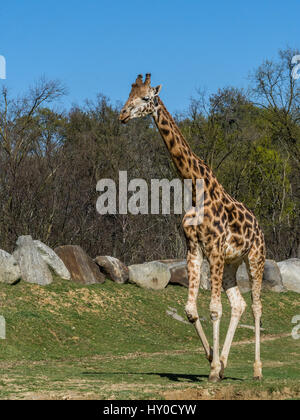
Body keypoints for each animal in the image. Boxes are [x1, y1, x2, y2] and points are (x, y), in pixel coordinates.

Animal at [118, 74, 266, 382]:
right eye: (129, 95)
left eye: (146, 98)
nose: (122, 115)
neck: (197, 189)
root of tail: (259, 227)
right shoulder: (195, 248)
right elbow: (190, 309)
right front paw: (213, 360)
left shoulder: (214, 249)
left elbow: (214, 309)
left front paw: (213, 370)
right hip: (232, 263)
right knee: (239, 304)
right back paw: (225, 361)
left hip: (255, 257)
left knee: (257, 307)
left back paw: (257, 370)